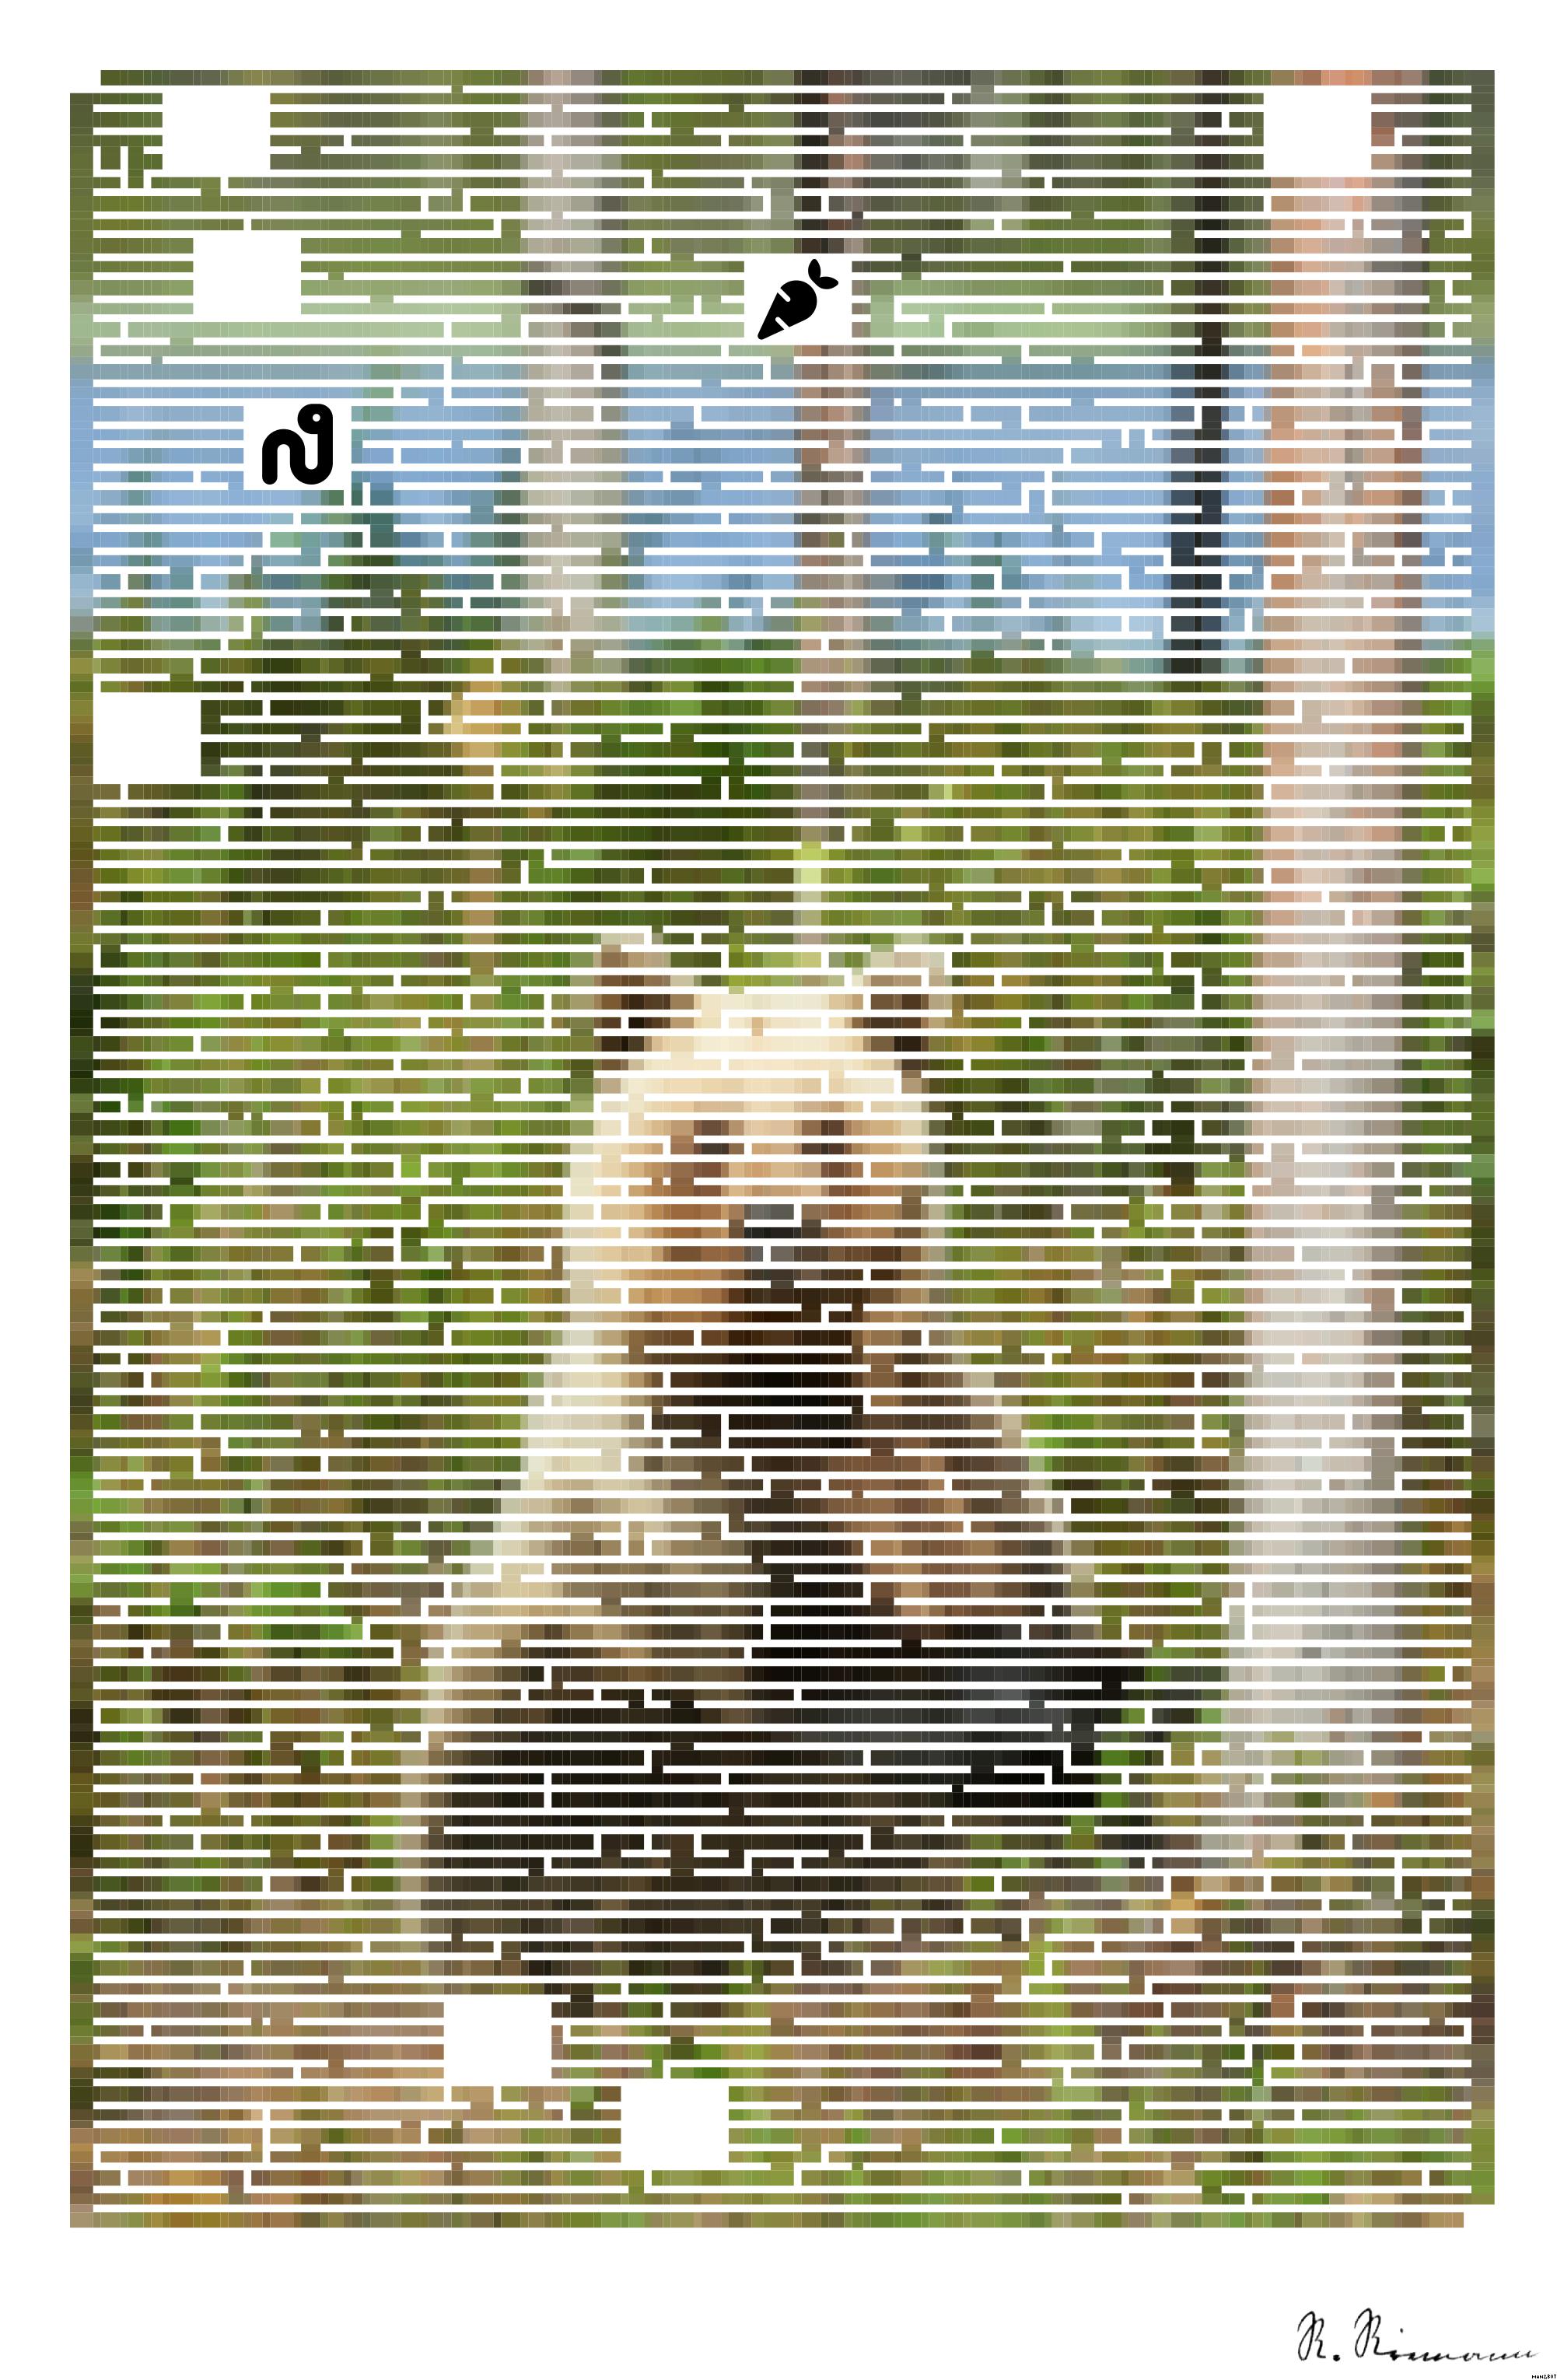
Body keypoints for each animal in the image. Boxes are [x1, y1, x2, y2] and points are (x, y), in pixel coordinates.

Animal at [422, 939, 1094, 1990]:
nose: (776, 1223)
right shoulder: (689, 1520)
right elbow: (823, 1699)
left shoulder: (959, 1461)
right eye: (710, 1131)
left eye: (827, 1129)